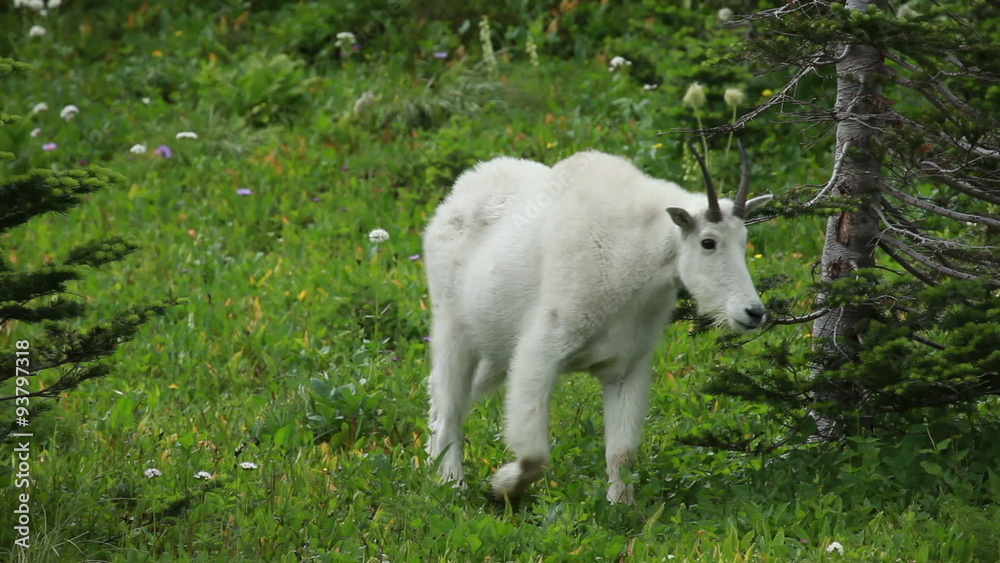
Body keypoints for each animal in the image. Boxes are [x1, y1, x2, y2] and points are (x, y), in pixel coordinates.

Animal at [422, 145, 772, 503]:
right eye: (708, 242)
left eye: (744, 240)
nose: (753, 312)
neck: (635, 256)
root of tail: (456, 194)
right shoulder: (540, 352)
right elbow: (534, 454)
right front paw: (502, 486)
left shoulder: (625, 367)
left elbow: (622, 452)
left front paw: (620, 505)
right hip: (452, 327)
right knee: (449, 406)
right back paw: (453, 482)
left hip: (496, 349)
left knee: (442, 396)